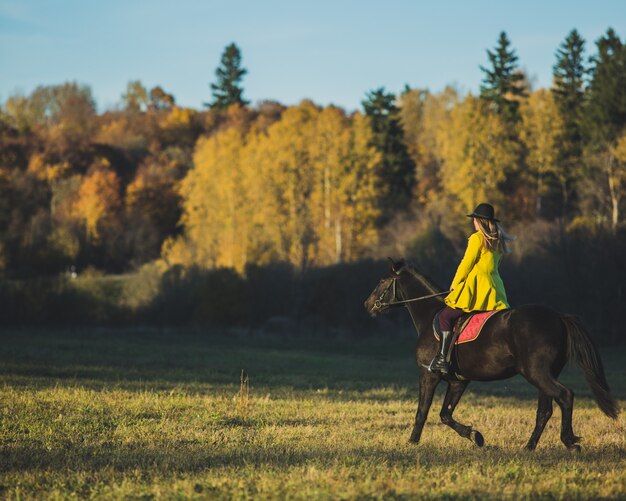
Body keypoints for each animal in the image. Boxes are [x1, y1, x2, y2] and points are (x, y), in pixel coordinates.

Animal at [364, 258, 616, 450]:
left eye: (383, 281)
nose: (367, 304)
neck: (430, 316)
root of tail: (558, 317)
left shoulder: (429, 375)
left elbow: (422, 412)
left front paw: (412, 442)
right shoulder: (458, 382)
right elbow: (445, 414)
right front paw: (475, 436)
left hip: (537, 374)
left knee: (565, 396)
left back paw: (569, 441)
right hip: (543, 376)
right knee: (545, 410)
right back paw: (529, 447)